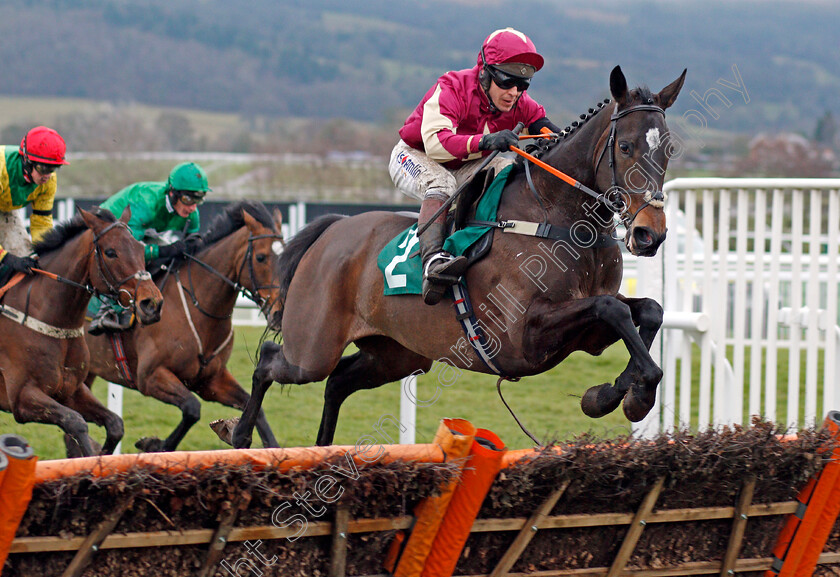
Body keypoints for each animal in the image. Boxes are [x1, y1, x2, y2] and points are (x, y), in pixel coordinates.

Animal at [0, 207, 164, 454]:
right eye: (110, 252)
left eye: (140, 247)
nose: (151, 303)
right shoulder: (22, 395)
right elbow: (75, 422)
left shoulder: (71, 390)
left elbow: (115, 424)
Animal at [85, 200, 284, 452]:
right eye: (260, 257)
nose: (279, 312)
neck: (197, 311)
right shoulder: (150, 376)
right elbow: (192, 409)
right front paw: (154, 445)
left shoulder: (210, 379)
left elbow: (253, 406)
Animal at [233, 66, 684, 446]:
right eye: (625, 146)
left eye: (668, 151)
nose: (650, 234)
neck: (554, 215)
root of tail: (333, 228)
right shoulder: (525, 335)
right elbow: (614, 309)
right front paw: (625, 394)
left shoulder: (584, 331)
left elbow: (647, 310)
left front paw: (622, 392)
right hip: (314, 347)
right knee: (272, 360)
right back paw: (239, 435)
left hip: (396, 353)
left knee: (338, 382)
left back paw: (320, 451)